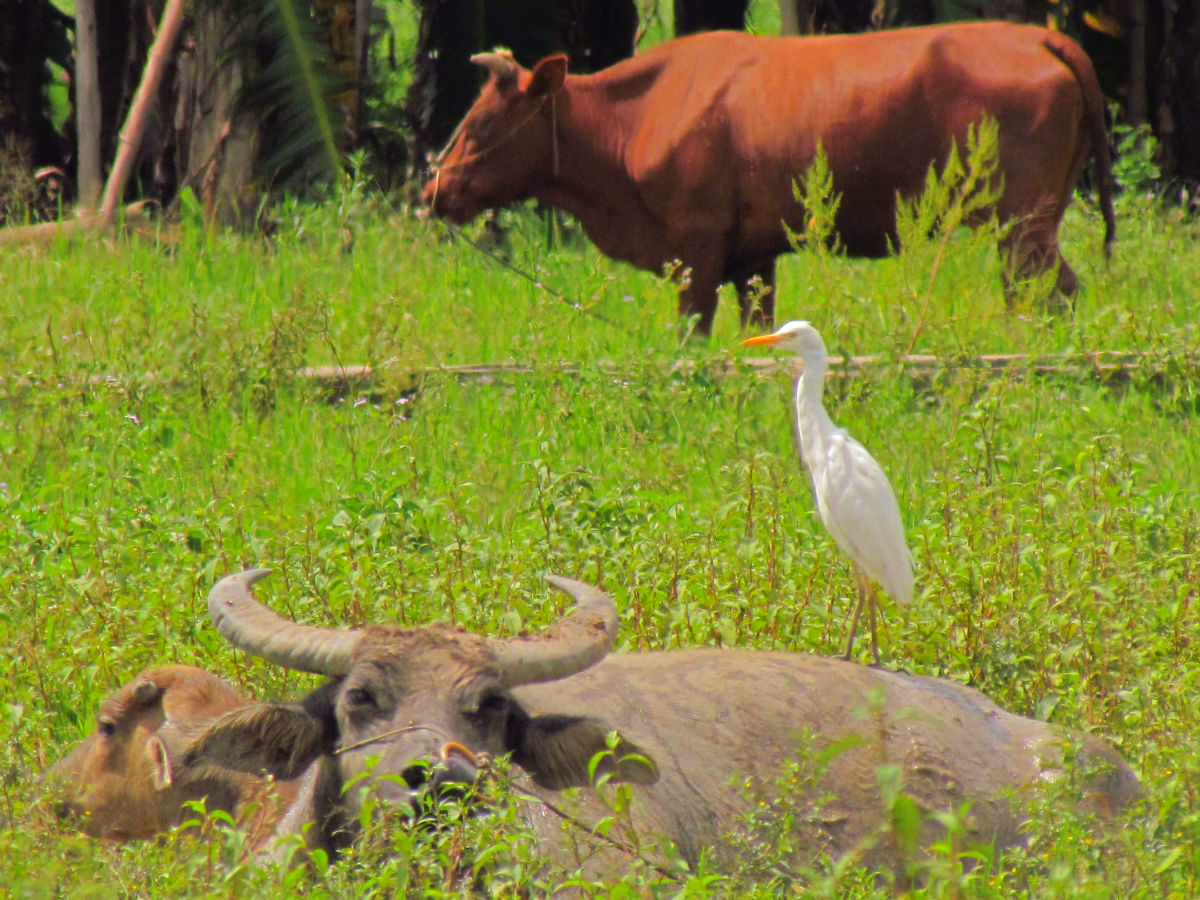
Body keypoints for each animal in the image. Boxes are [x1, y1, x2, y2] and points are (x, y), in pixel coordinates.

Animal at [422, 24, 1113, 336]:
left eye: (481, 123)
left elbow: (693, 335)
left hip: (1022, 225)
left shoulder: (696, 250)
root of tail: (1037, 34)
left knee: (1048, 294)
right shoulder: (753, 258)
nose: (434, 191)